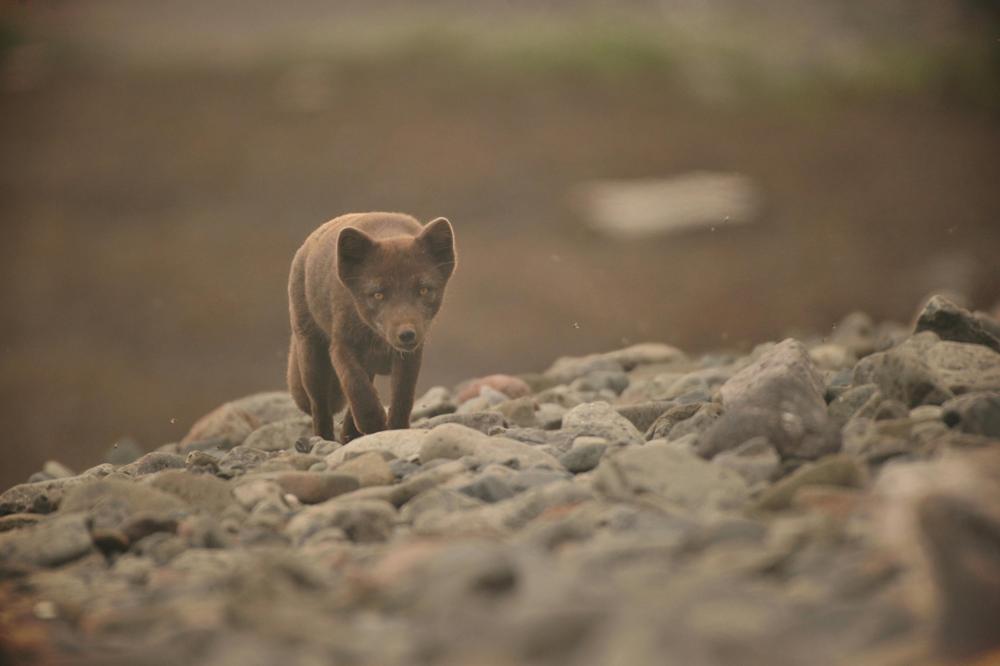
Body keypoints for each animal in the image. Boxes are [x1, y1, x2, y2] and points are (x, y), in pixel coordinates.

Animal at [287, 212, 457, 443]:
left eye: (423, 290)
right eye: (378, 294)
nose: (407, 335)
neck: (378, 340)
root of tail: (305, 246)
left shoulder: (411, 355)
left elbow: (403, 395)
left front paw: (395, 429)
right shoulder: (341, 346)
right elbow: (356, 385)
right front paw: (374, 423)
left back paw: (349, 435)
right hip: (311, 354)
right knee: (319, 404)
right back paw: (325, 438)